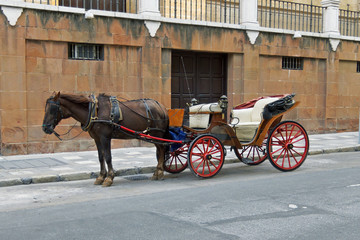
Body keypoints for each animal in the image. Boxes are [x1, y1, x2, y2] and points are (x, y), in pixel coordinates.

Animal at [42, 92, 170, 188]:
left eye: (52, 109)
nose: (45, 128)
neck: (95, 112)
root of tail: (161, 106)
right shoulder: (97, 138)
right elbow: (100, 157)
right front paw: (101, 177)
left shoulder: (105, 137)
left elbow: (108, 157)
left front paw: (109, 178)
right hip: (153, 135)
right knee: (160, 150)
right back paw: (157, 172)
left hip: (157, 133)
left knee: (162, 149)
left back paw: (159, 171)